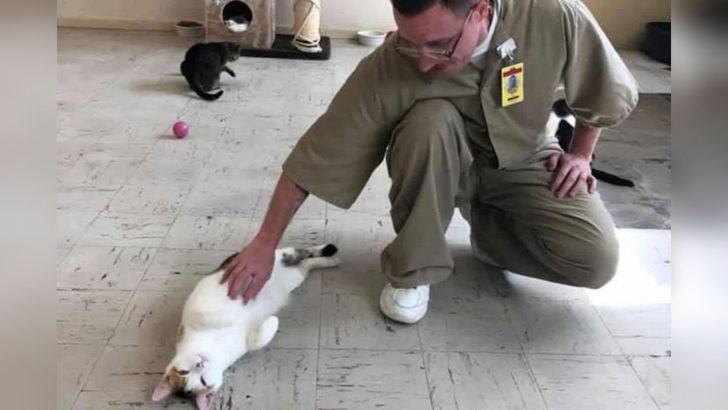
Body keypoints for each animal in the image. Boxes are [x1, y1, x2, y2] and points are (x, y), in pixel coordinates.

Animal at [152, 243, 340, 406]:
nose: (200, 363)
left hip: (272, 259)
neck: (213, 349)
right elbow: (259, 339)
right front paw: (272, 320)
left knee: (299, 251)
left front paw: (234, 308)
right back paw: (330, 260)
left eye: (183, 371)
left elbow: (213, 316)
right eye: (201, 381)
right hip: (295, 277)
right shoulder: (248, 341)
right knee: (305, 263)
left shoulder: (196, 312)